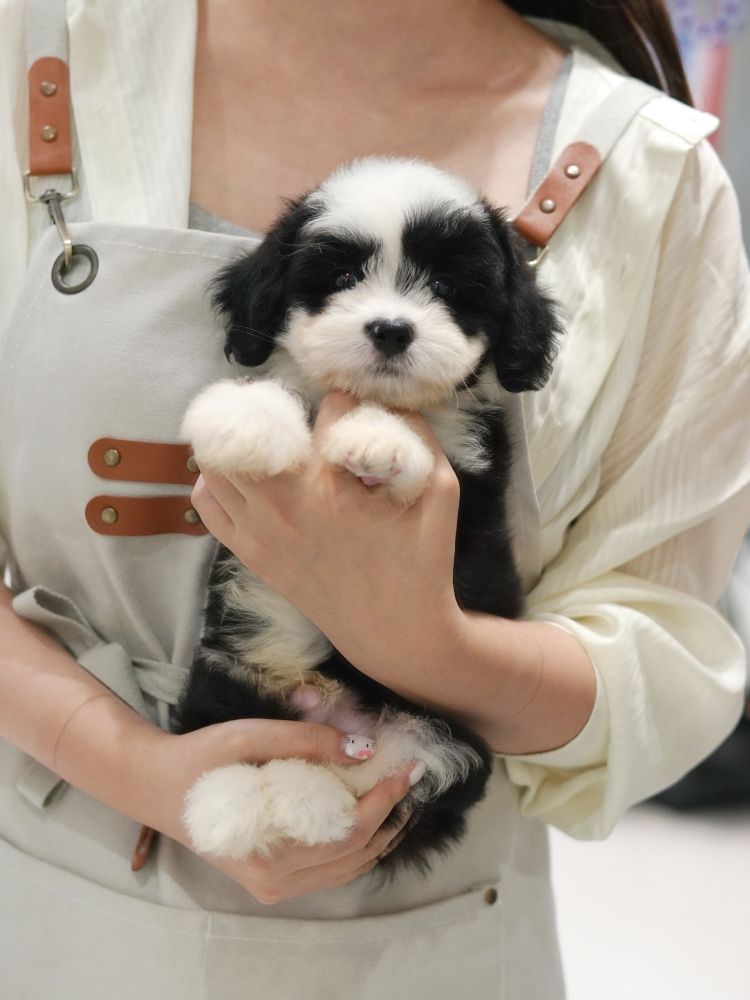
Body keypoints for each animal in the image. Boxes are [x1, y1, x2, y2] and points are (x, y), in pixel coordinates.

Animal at [176, 157, 560, 876]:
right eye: (342, 279)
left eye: (446, 286)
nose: (391, 328)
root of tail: (332, 713)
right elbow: (283, 389)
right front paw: (242, 419)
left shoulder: (468, 478)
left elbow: (420, 446)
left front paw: (377, 438)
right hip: (232, 671)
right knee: (227, 733)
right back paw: (226, 807)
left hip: (445, 736)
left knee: (379, 782)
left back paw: (307, 800)